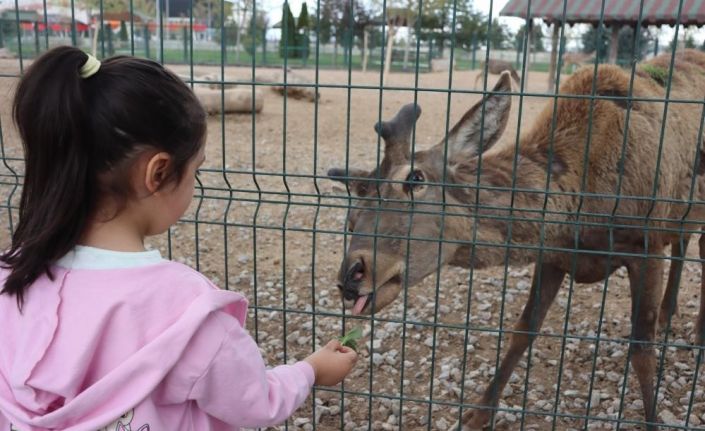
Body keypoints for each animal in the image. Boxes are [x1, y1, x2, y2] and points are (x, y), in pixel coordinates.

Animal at [328, 49, 704, 430]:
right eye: (352, 219)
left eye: (415, 178)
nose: (352, 274)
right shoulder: (553, 255)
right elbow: (523, 330)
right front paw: (479, 412)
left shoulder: (647, 244)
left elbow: (641, 349)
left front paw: (653, 420)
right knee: (684, 242)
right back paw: (668, 314)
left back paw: (697, 332)